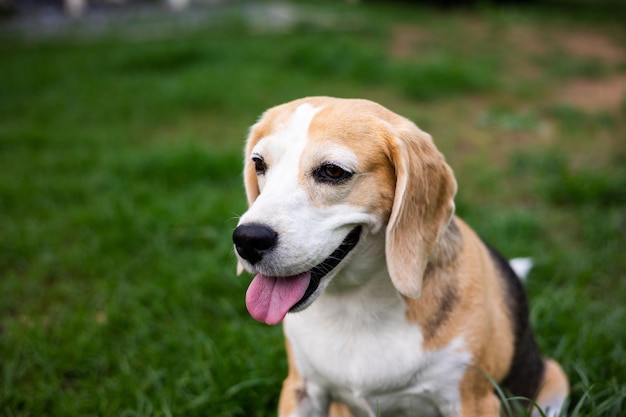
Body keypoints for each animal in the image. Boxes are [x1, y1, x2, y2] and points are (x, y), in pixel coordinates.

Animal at [232, 96, 568, 414]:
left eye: (332, 171)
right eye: (259, 164)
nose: (247, 240)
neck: (356, 304)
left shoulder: (473, 401)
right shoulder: (300, 389)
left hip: (555, 380)